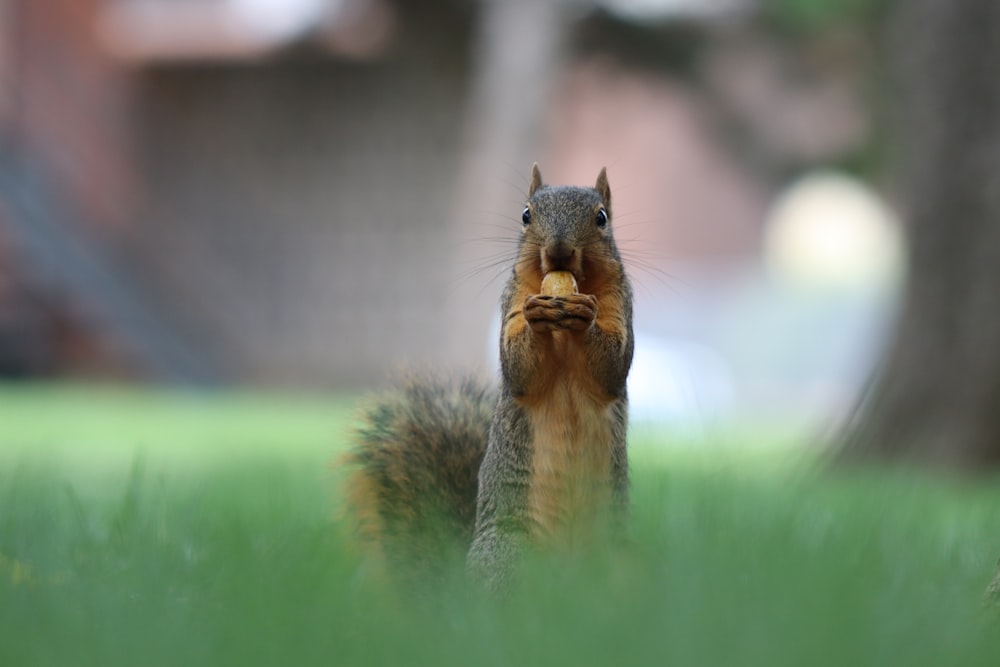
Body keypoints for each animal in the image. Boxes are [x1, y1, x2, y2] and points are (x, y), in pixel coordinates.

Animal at [344, 164, 632, 592]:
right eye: (526, 214)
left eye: (601, 218)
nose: (559, 251)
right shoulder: (512, 300)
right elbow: (519, 369)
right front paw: (537, 316)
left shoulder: (620, 303)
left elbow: (612, 365)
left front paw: (585, 315)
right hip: (510, 555)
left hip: (617, 562)